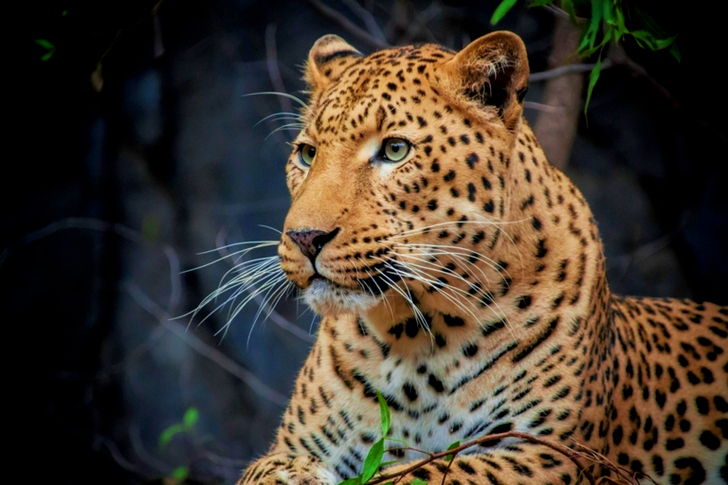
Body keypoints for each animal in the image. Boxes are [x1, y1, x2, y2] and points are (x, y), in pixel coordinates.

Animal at [237, 31, 728, 484]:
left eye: (395, 150)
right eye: (307, 154)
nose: (304, 238)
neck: (414, 341)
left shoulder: (550, 454)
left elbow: (430, 473)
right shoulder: (290, 445)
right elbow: (263, 469)